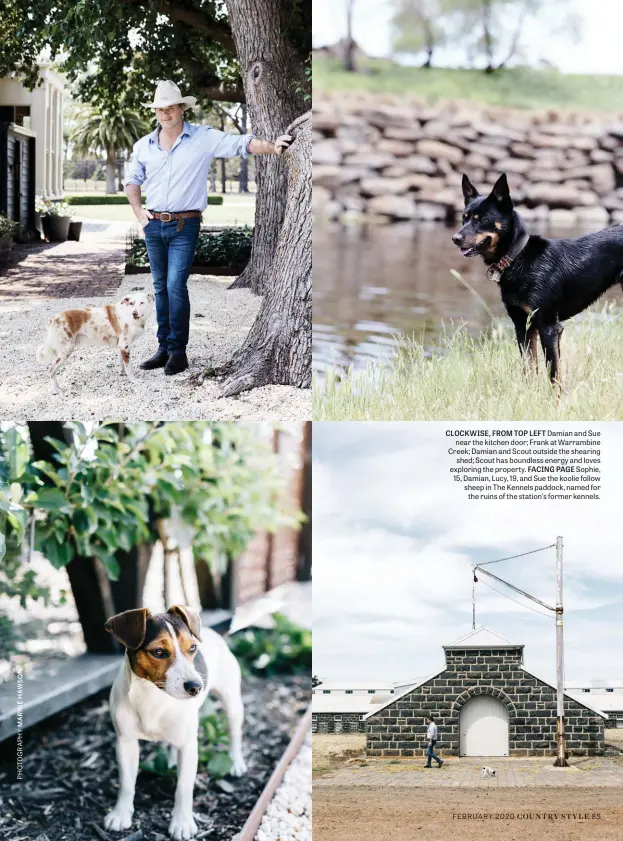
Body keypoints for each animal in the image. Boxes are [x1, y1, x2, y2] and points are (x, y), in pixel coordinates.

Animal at [104, 604, 246, 840]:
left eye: (192, 648)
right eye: (159, 652)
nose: (196, 687)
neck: (153, 696)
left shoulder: (189, 747)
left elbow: (184, 787)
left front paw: (182, 822)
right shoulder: (125, 743)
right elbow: (126, 783)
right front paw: (120, 814)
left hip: (232, 702)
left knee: (235, 732)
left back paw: (236, 762)